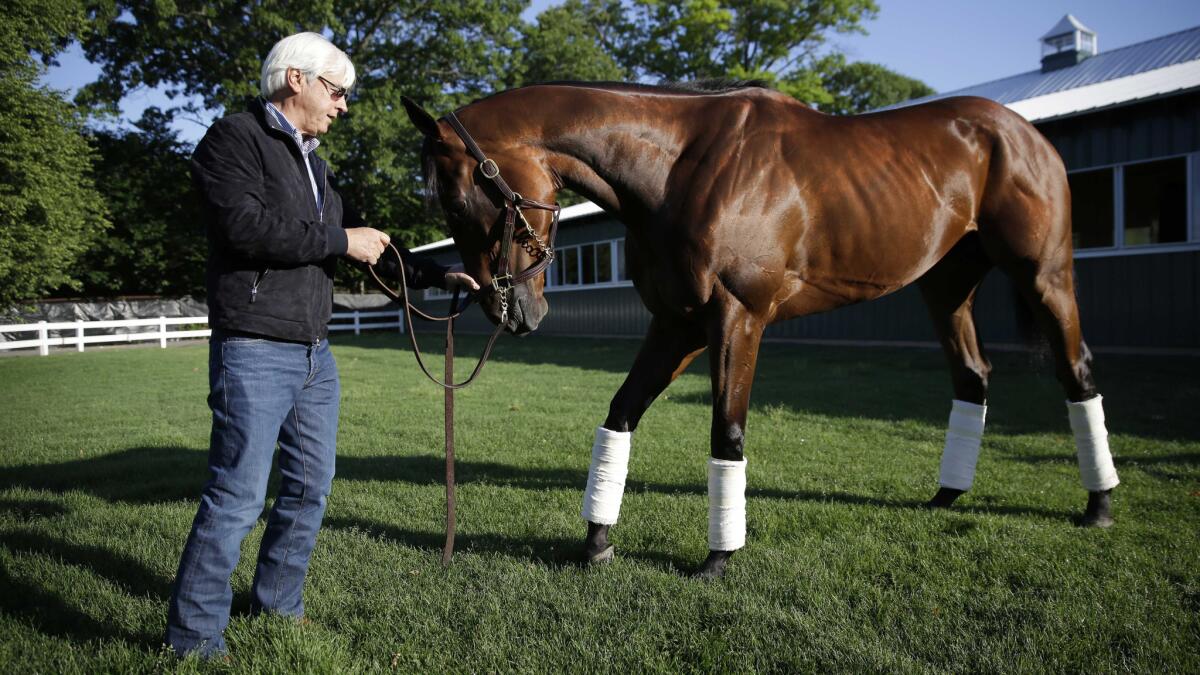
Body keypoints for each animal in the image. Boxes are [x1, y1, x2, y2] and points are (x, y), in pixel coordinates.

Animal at [400, 81, 1113, 576]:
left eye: (460, 201)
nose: (509, 311)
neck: (679, 168)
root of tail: (1022, 132)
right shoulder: (677, 326)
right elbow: (621, 414)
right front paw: (598, 541)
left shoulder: (737, 318)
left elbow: (728, 430)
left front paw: (718, 557)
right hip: (946, 288)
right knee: (972, 377)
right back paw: (947, 496)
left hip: (1045, 276)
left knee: (1076, 370)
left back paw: (1099, 506)